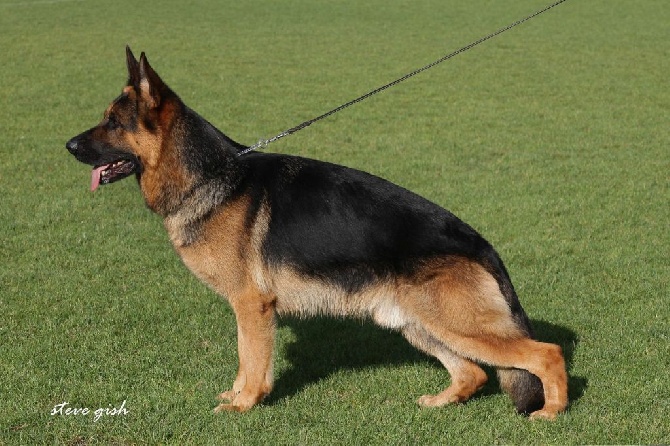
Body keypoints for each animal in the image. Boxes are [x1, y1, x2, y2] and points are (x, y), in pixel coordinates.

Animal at [67, 47, 568, 420]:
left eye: (113, 122)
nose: (68, 145)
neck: (208, 174)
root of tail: (483, 246)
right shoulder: (246, 308)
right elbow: (243, 357)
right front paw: (237, 395)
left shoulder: (252, 306)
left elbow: (252, 360)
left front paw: (245, 404)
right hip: (418, 323)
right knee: (474, 374)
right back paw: (442, 402)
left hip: (455, 324)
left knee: (547, 353)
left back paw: (551, 413)